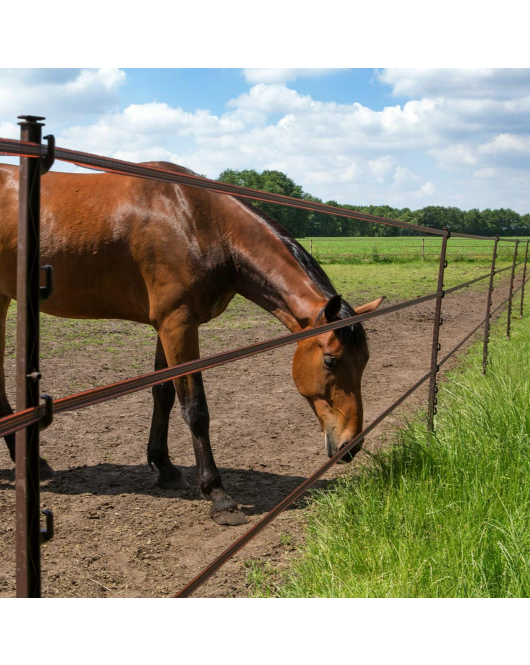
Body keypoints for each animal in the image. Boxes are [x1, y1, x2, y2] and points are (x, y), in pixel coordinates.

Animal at [0, 162, 382, 524]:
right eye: (331, 360)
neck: (197, 221)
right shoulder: (178, 324)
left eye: (364, 360)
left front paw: (165, 468)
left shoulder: (166, 325)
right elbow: (195, 408)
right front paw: (218, 495)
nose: (351, 444)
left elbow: (164, 394)